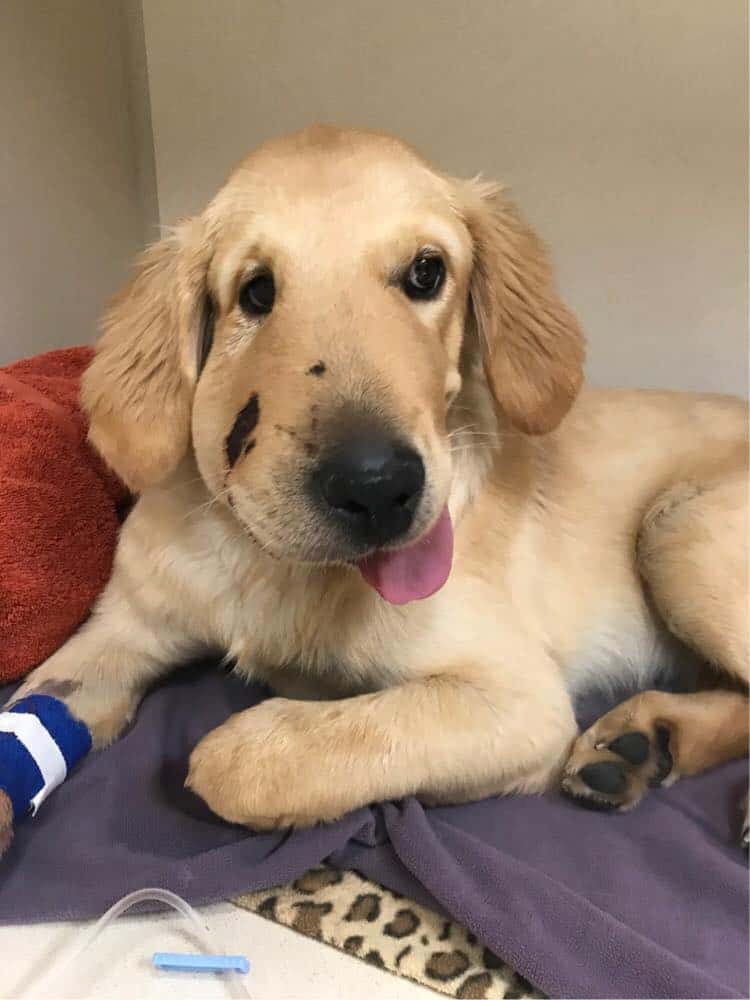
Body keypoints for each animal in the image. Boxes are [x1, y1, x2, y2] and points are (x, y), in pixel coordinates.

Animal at [2, 121, 748, 848]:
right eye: (256, 291)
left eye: (426, 271)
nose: (378, 488)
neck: (264, 557)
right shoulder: (119, 629)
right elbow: (32, 711)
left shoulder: (518, 698)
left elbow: (255, 758)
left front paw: (245, 748)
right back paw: (641, 744)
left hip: (679, 526)